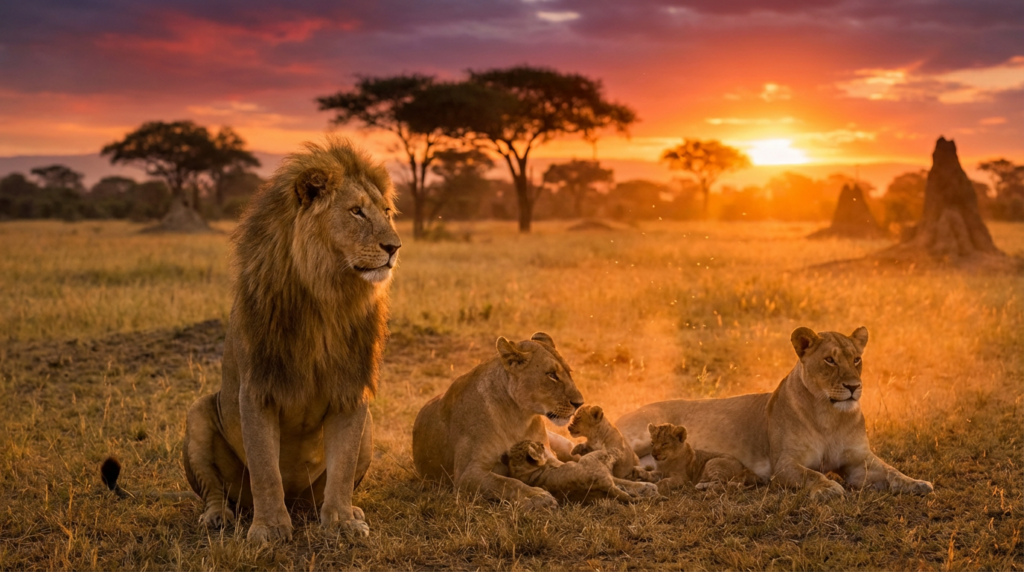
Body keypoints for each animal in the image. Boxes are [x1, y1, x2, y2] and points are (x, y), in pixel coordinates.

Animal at [168, 138, 400, 542]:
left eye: (386, 212)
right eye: (356, 212)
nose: (394, 247)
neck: (326, 296)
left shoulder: (351, 387)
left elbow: (341, 469)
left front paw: (342, 521)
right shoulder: (258, 388)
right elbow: (265, 469)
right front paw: (270, 528)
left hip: (367, 429)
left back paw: (347, 510)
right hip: (197, 414)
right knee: (217, 492)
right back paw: (217, 517)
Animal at [412, 333, 584, 511]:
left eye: (569, 372)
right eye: (552, 375)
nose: (580, 403)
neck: (519, 417)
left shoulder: (549, 456)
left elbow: (564, 468)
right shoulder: (466, 474)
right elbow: (506, 483)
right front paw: (537, 497)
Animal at [616, 327, 934, 501]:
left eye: (857, 359)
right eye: (830, 361)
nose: (854, 387)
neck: (830, 415)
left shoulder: (858, 463)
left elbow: (892, 471)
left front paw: (918, 484)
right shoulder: (784, 465)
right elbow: (810, 474)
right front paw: (828, 488)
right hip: (636, 436)